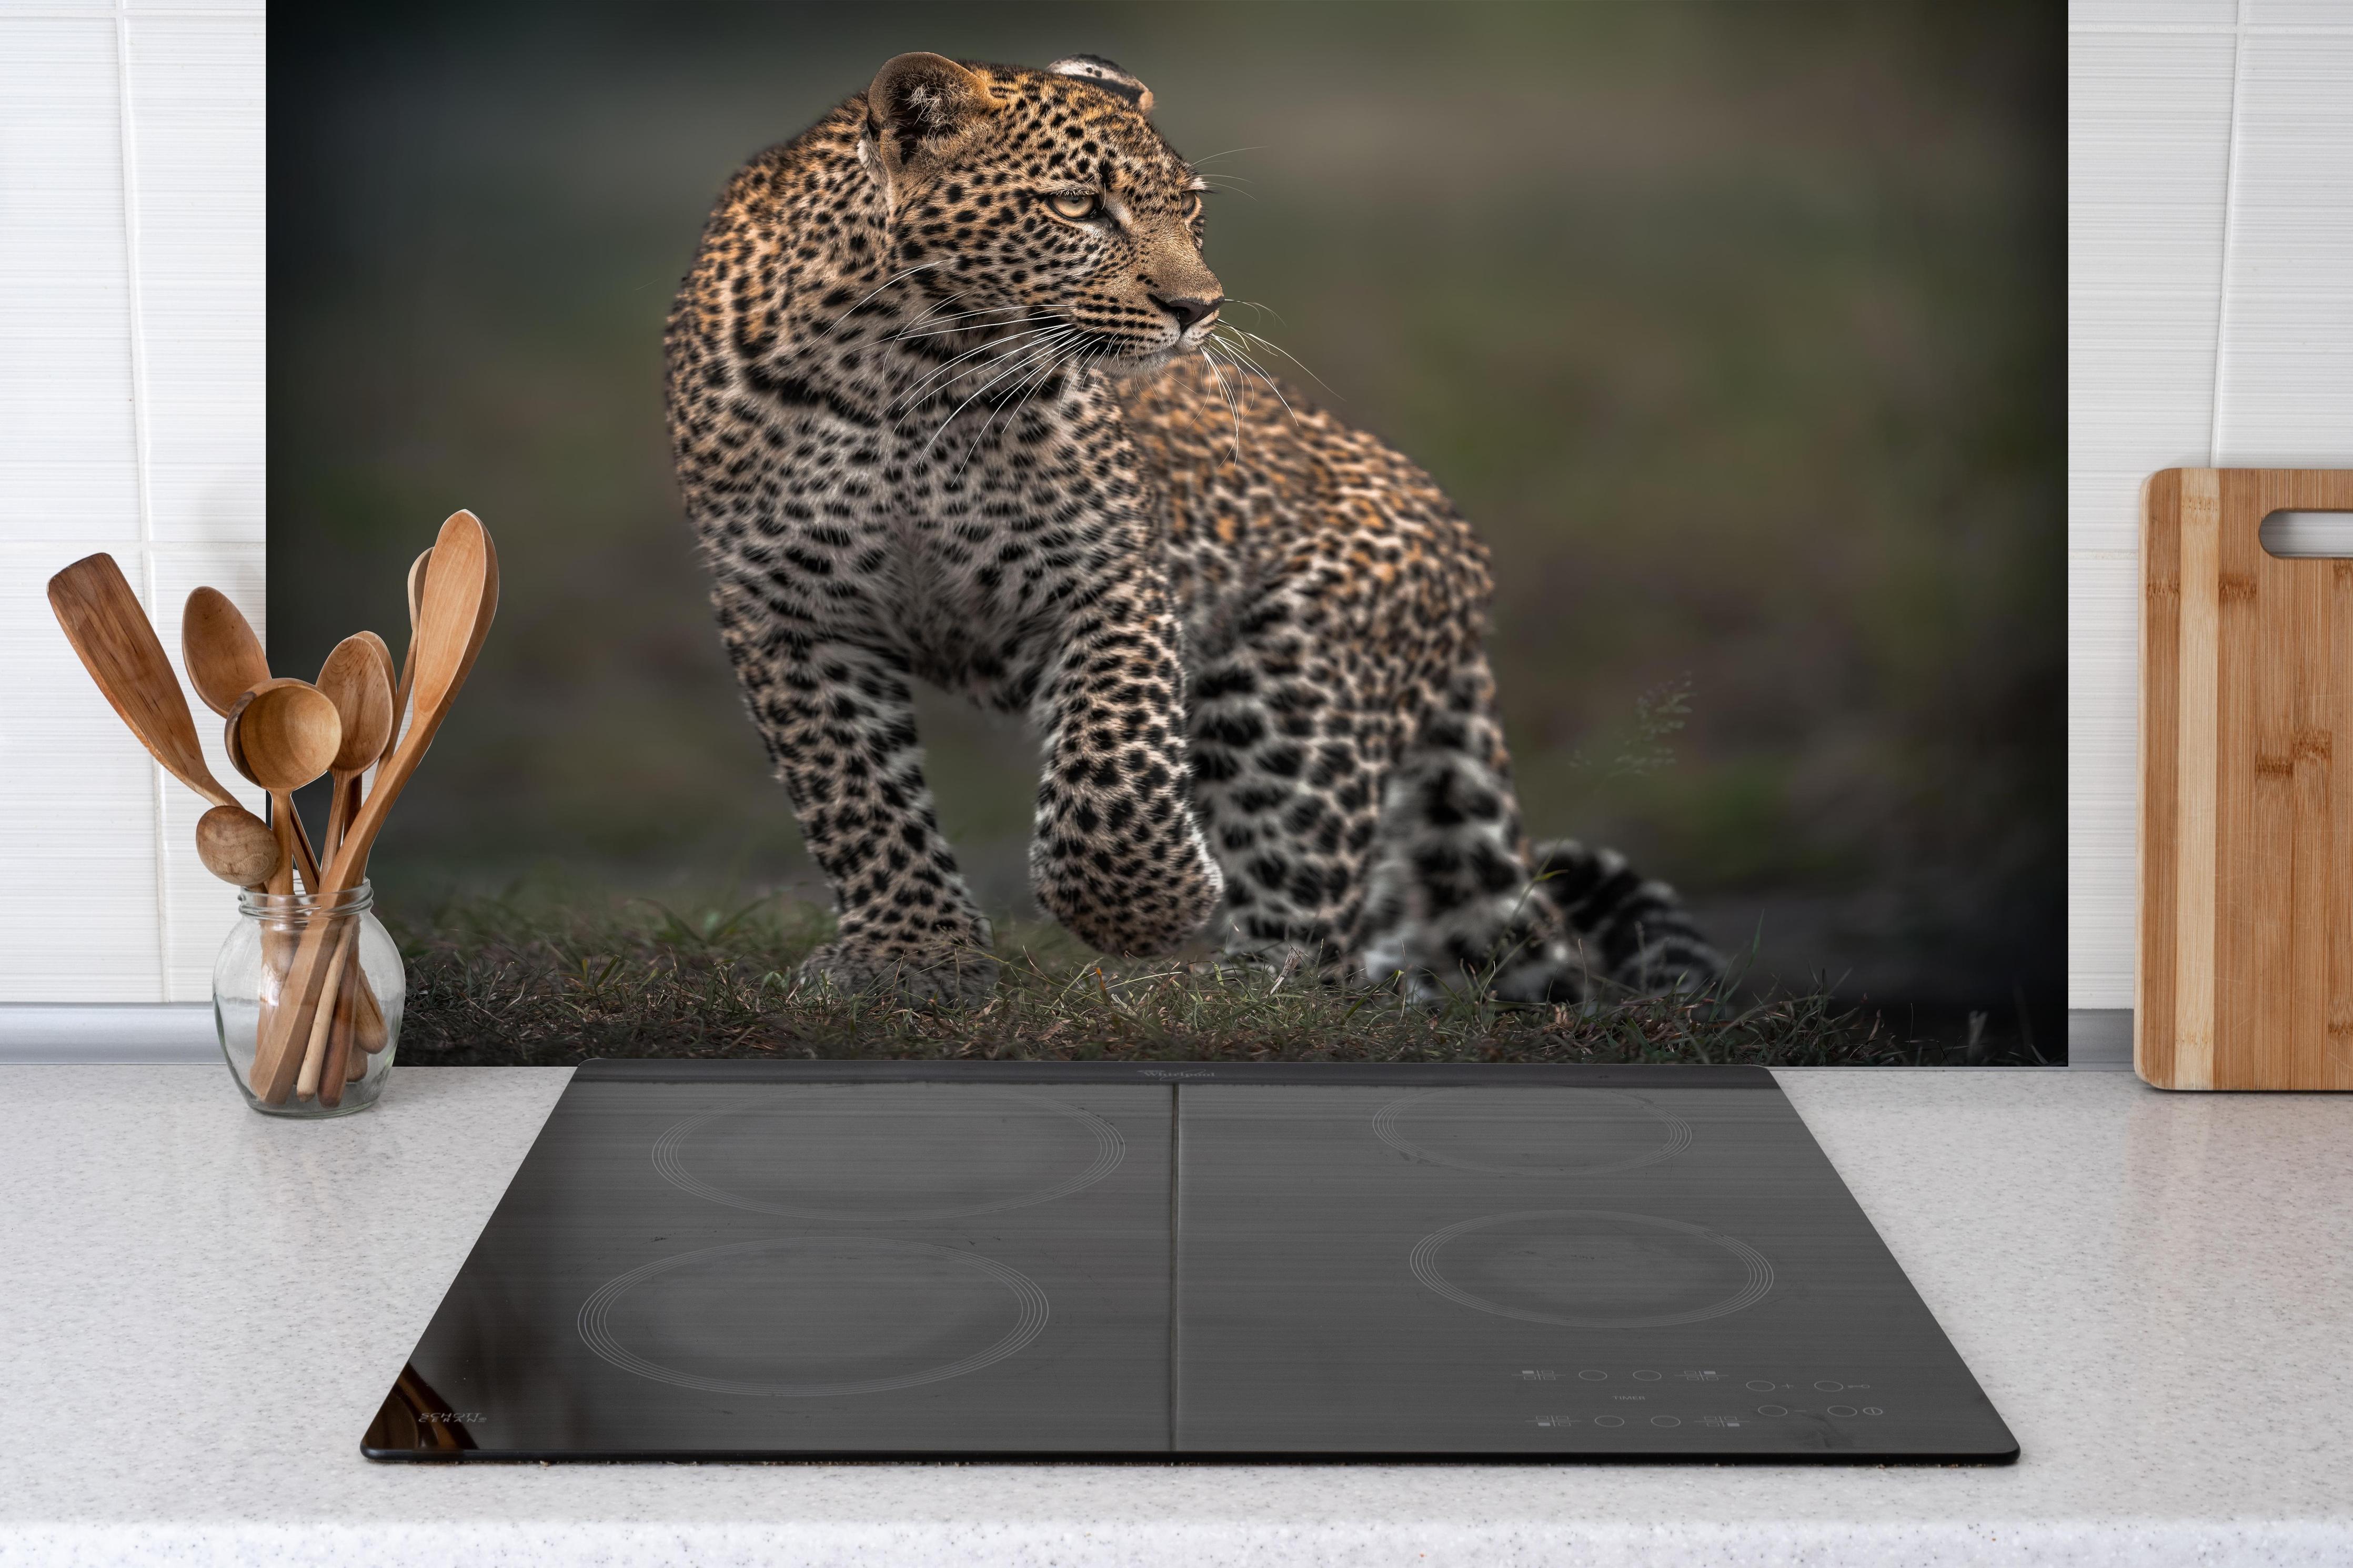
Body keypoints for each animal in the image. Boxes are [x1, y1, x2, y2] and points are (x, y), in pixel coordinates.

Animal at [664, 50, 1721, 1006]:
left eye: (1190, 209)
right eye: (1077, 205)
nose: (1198, 308)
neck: (905, 374)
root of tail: (1460, 547)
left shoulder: (1108, 575)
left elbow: (1115, 764)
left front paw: (1149, 906)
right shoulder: (786, 612)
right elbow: (855, 798)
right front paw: (911, 958)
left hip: (1291, 690)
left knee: (1315, 930)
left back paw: (1234, 996)